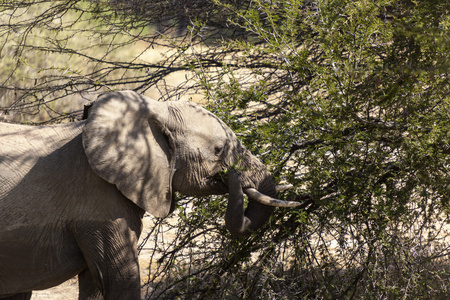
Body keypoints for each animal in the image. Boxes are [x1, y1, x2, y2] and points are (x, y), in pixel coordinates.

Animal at [0, 90, 298, 298]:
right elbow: (121, 280)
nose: (231, 175)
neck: (154, 111)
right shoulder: (98, 204)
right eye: (218, 150)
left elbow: (95, 284)